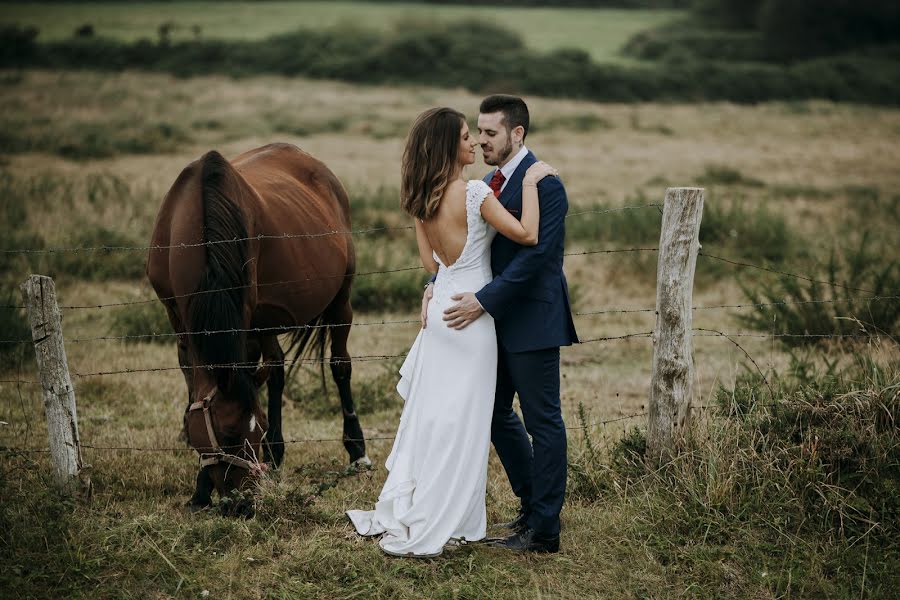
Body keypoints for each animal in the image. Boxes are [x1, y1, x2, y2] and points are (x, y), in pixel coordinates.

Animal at [148, 143, 370, 512]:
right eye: (229, 435)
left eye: (258, 429)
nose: (243, 503)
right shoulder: (178, 319)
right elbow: (194, 387)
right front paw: (200, 490)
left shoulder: (243, 317)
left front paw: (202, 487)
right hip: (265, 321)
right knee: (277, 368)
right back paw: (277, 456)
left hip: (340, 300)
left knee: (340, 366)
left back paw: (356, 450)